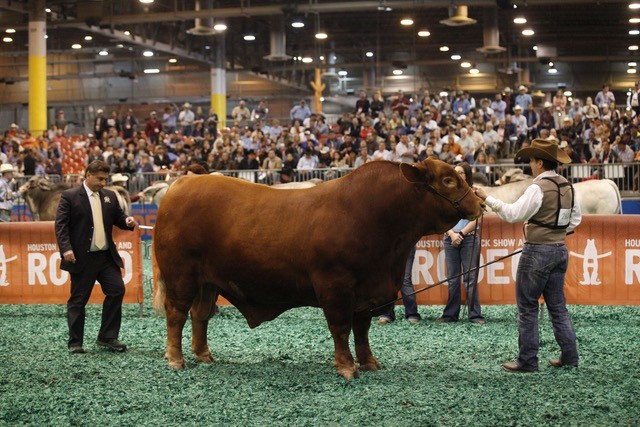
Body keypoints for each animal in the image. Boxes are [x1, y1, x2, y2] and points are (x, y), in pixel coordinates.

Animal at [155, 159, 482, 380]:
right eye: (449, 180)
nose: (479, 203)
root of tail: (181, 184)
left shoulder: (367, 292)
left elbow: (362, 330)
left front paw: (369, 362)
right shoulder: (335, 286)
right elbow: (341, 327)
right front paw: (346, 366)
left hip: (208, 283)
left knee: (200, 316)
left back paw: (204, 355)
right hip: (181, 276)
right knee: (177, 314)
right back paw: (175, 359)